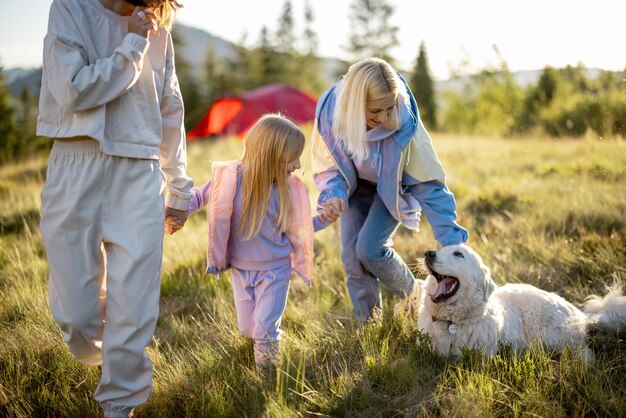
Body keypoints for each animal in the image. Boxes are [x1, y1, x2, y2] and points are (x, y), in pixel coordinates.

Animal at [414, 245, 624, 360]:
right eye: (441, 250)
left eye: (458, 254)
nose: (428, 253)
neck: (452, 323)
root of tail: (579, 313)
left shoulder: (480, 359)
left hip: (552, 335)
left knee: (585, 352)